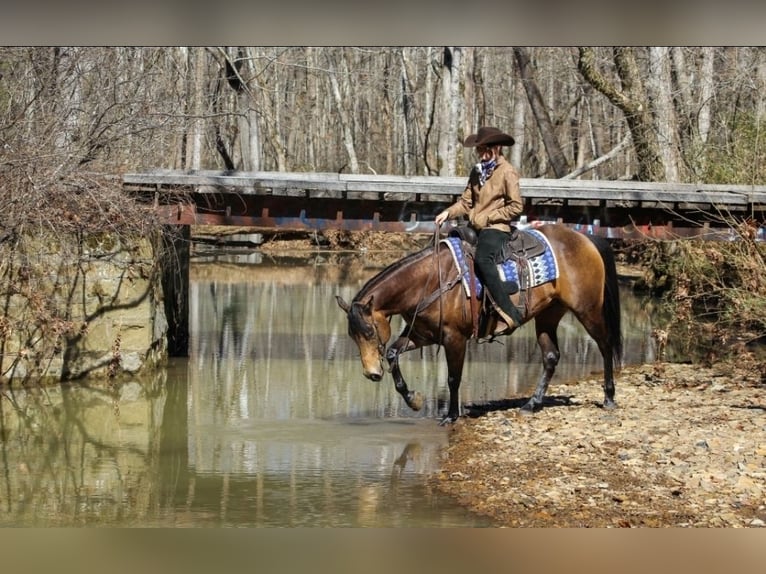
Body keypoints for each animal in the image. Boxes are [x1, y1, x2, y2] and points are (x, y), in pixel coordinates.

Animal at [335, 223, 623, 426]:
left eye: (369, 331)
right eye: (352, 335)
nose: (371, 373)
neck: (429, 281)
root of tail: (585, 239)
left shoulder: (454, 338)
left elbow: (453, 378)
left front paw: (450, 415)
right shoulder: (422, 335)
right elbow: (394, 354)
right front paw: (414, 400)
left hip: (588, 309)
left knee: (605, 345)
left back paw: (609, 397)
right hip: (548, 315)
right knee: (551, 356)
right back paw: (532, 404)